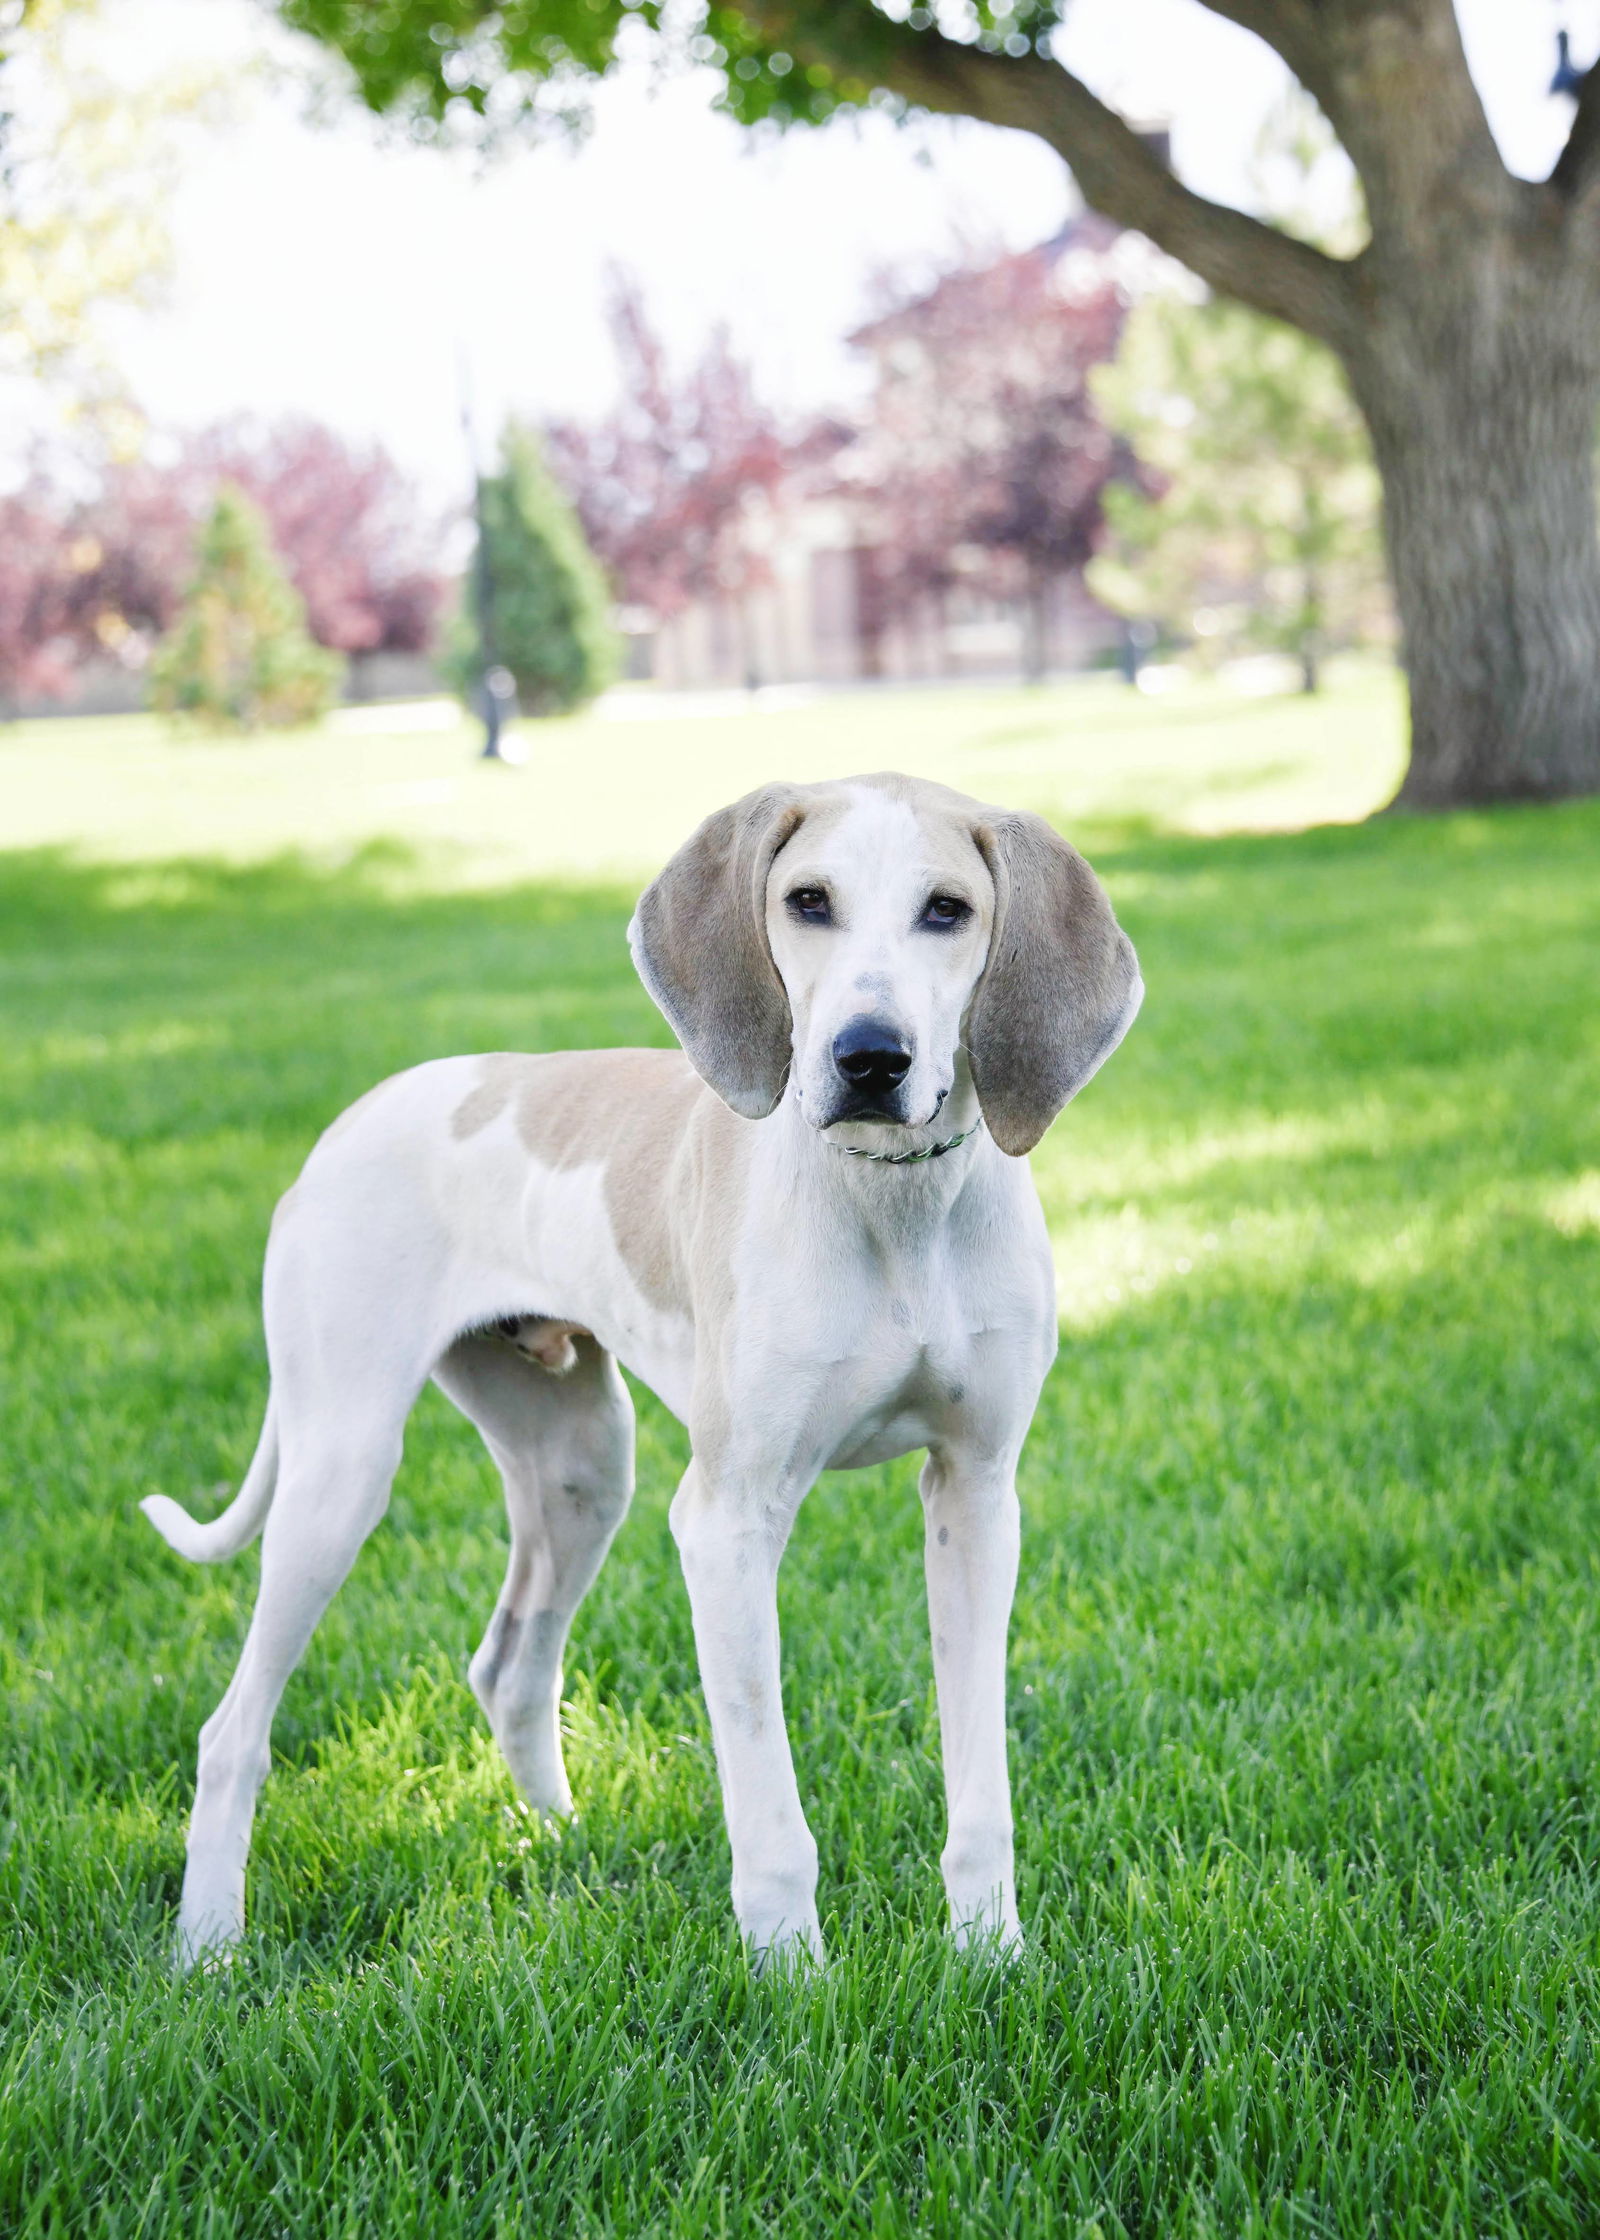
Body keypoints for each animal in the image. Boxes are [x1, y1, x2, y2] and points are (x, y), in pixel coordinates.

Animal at [140, 770, 1133, 1962]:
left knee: (508, 1667)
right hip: (342, 1476)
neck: (892, 1204)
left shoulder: (977, 1494)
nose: (868, 1057)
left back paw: (558, 1843)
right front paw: (792, 1979)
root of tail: (338, 1133)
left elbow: (981, 1787)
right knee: (232, 1728)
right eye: (807, 900)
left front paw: (991, 1956)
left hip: (580, 1468)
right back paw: (207, 1945)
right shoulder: (728, 1520)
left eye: (949, 909)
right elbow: (771, 1815)